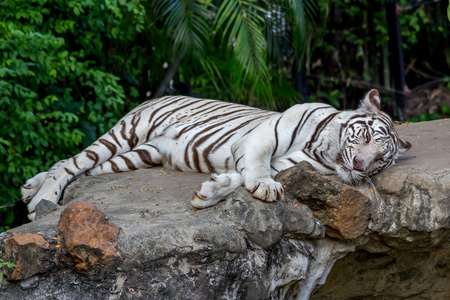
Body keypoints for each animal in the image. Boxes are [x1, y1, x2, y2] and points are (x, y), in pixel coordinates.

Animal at [23, 89, 412, 220]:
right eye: (364, 137)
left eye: (382, 159)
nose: (360, 165)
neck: (324, 149)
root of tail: (155, 94)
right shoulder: (262, 138)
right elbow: (257, 167)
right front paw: (265, 188)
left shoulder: (285, 165)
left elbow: (239, 178)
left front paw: (208, 194)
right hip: (124, 134)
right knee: (69, 163)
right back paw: (40, 199)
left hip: (135, 156)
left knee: (78, 168)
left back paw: (30, 189)